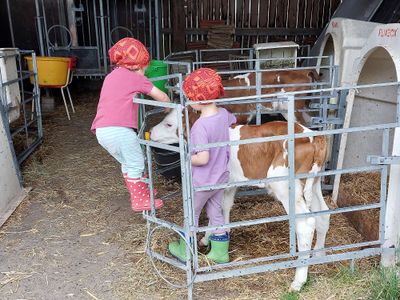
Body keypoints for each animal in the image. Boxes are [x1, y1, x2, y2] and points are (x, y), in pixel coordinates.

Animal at [151, 109, 332, 290]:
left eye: (168, 124)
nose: (151, 132)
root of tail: (314, 136)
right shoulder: (229, 184)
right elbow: (223, 208)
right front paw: (216, 235)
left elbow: (213, 210)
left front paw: (207, 238)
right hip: (314, 183)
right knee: (323, 213)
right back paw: (318, 254)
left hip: (285, 186)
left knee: (306, 224)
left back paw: (298, 280)